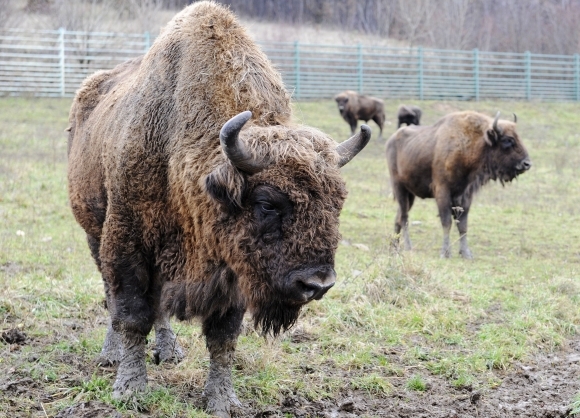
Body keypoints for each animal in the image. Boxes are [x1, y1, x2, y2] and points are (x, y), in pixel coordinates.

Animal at [64, 1, 372, 416]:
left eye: (338, 202)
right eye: (267, 202)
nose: (318, 284)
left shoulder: (234, 270)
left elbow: (222, 336)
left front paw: (223, 400)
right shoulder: (127, 244)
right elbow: (130, 314)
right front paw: (130, 389)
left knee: (159, 307)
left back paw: (169, 351)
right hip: (93, 234)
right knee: (113, 297)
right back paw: (111, 355)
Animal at [388, 112, 532, 260]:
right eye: (508, 140)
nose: (527, 163)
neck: (470, 144)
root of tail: (392, 139)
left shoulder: (465, 195)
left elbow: (463, 225)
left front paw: (466, 253)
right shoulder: (443, 192)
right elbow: (447, 222)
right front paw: (445, 253)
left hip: (410, 194)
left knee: (398, 217)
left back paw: (394, 248)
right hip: (399, 188)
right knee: (404, 217)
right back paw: (408, 247)